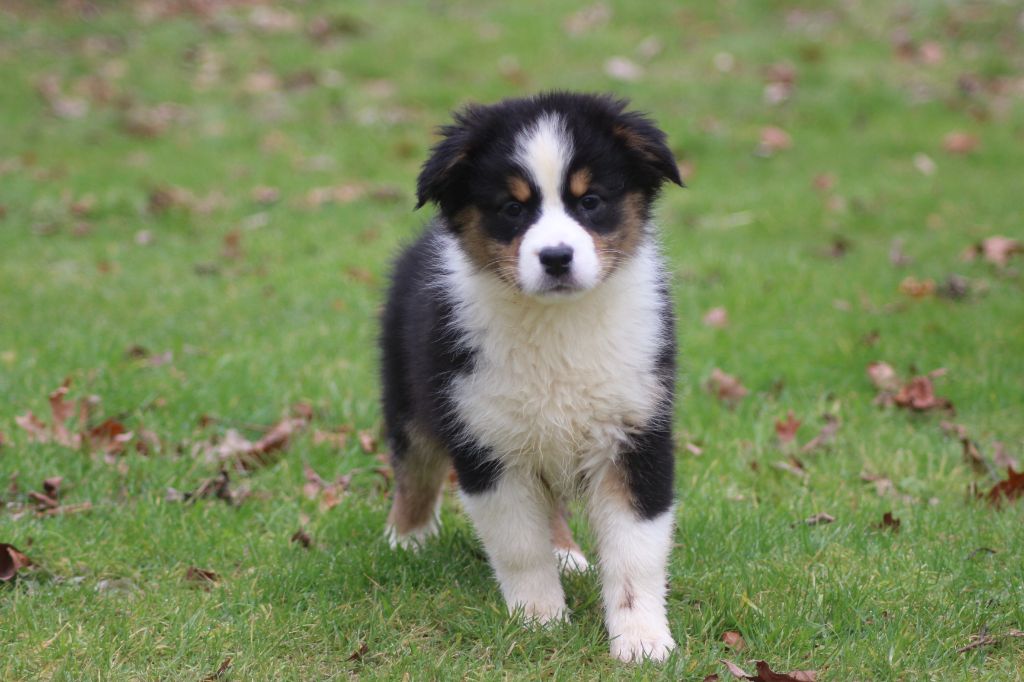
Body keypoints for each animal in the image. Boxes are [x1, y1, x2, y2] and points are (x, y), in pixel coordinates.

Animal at [380, 90, 684, 659]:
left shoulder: (636, 432)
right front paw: (540, 621)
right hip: (409, 392)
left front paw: (643, 642)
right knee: (416, 467)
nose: (556, 257)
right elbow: (520, 546)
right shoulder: (486, 441)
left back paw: (567, 552)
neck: (557, 322)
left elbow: (636, 552)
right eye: (512, 208)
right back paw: (406, 540)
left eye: (590, 202)